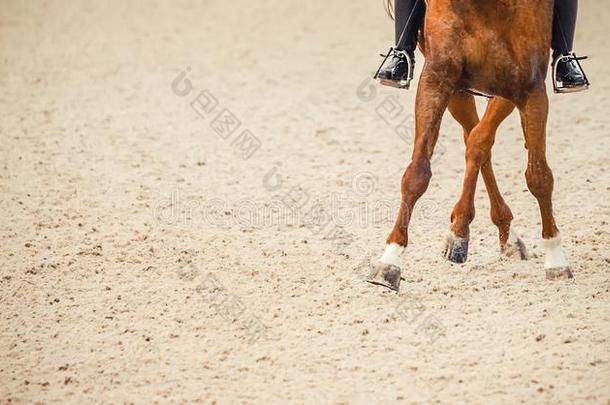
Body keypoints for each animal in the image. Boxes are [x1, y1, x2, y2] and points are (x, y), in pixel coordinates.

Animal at [368, 0, 572, 290]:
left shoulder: (527, 89)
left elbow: (538, 175)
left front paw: (556, 259)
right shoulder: (437, 79)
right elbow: (417, 173)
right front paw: (390, 260)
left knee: (478, 141)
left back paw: (493, 234)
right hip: (458, 92)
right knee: (472, 138)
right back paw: (475, 232)